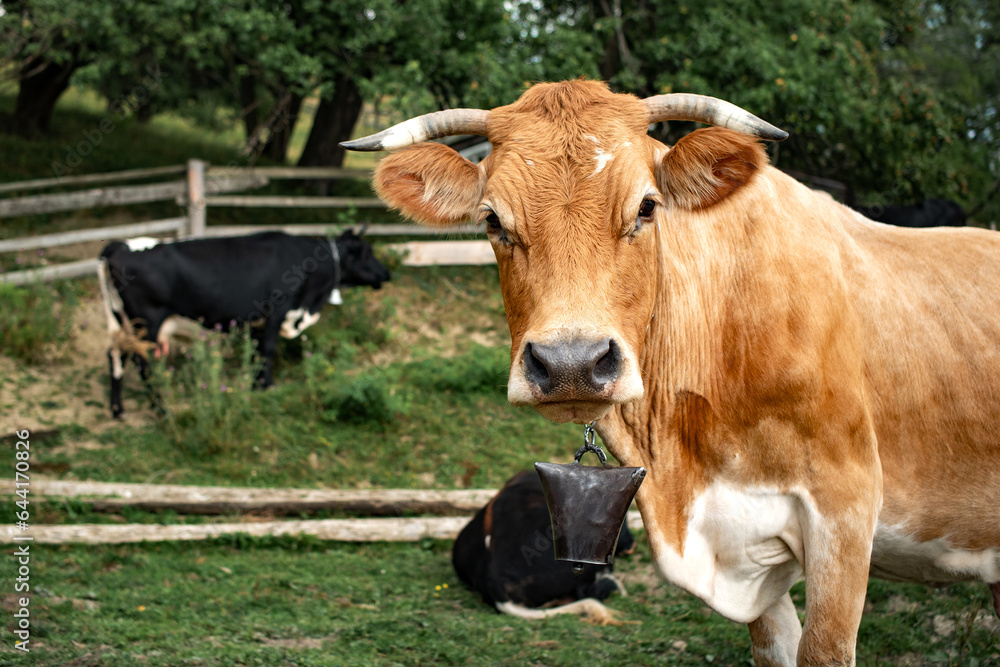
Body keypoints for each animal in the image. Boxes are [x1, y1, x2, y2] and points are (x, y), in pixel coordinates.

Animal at [95, 230, 388, 418]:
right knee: (142, 363)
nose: (387, 273)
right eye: (368, 252)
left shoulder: (257, 321)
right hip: (147, 323)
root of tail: (120, 245)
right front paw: (268, 386)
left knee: (115, 355)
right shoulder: (277, 311)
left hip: (120, 322)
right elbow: (267, 349)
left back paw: (118, 410)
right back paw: (161, 410)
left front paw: (256, 384)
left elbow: (256, 351)